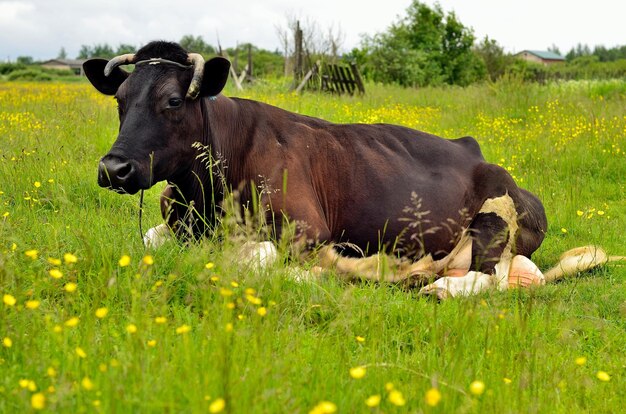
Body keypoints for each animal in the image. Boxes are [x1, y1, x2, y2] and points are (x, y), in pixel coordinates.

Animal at [81, 40, 616, 298]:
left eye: (173, 101)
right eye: (120, 100)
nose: (114, 167)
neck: (208, 193)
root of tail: (477, 150)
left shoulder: (304, 228)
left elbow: (259, 259)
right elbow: (150, 241)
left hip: (494, 220)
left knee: (490, 277)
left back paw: (430, 284)